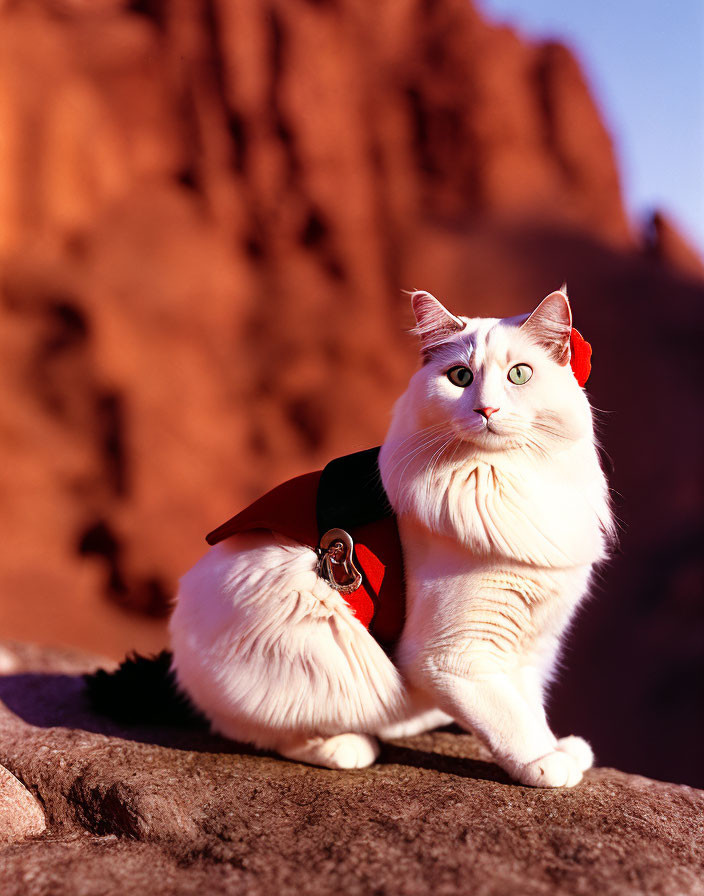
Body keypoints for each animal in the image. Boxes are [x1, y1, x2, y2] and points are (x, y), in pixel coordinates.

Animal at [169, 288, 612, 784]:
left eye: (520, 374)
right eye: (460, 377)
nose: (486, 409)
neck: (509, 481)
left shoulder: (531, 643)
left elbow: (529, 707)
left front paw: (557, 747)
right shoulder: (452, 657)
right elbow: (508, 718)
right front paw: (543, 762)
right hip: (308, 635)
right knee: (272, 733)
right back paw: (349, 746)